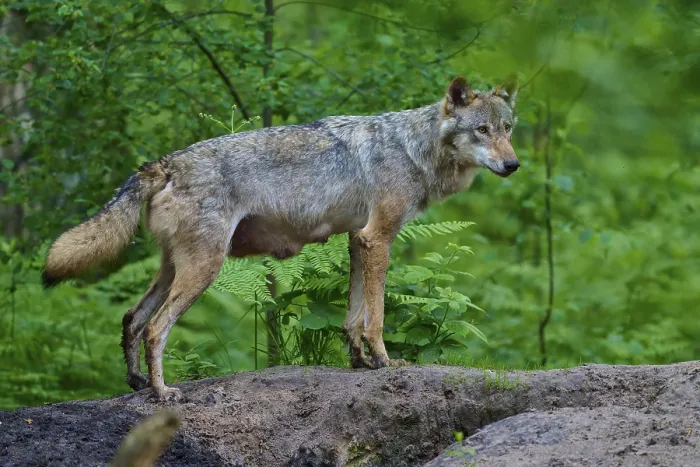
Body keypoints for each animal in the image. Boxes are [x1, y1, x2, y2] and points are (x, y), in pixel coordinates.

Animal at [43, 75, 520, 401]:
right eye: (482, 130)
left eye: (508, 129)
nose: (514, 165)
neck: (412, 148)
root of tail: (166, 162)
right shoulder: (377, 238)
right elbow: (377, 318)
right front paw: (384, 361)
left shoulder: (357, 241)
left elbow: (353, 317)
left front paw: (359, 363)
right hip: (204, 269)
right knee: (156, 328)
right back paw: (162, 393)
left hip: (173, 268)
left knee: (131, 318)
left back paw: (138, 383)